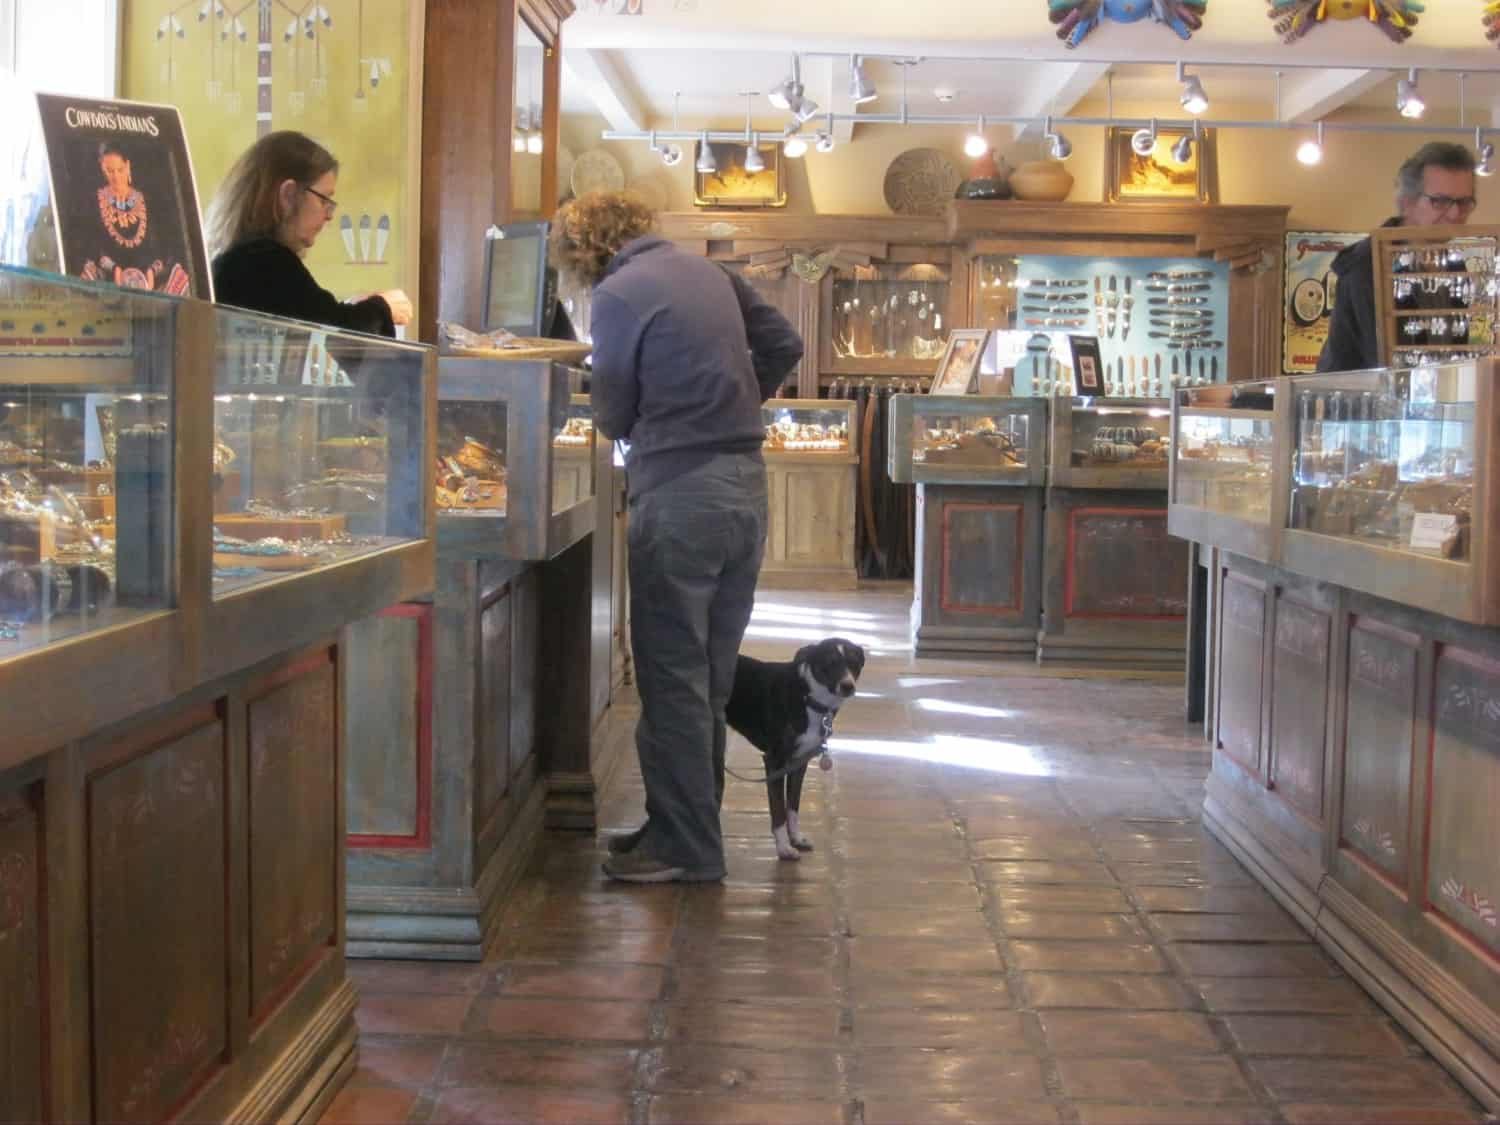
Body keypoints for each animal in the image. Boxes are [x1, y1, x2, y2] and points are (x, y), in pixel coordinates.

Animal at [726, 642, 870, 864]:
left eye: (854, 663)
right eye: (830, 663)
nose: (848, 686)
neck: (808, 698)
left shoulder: (799, 762)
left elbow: (793, 805)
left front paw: (796, 839)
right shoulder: (774, 761)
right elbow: (778, 810)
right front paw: (784, 848)